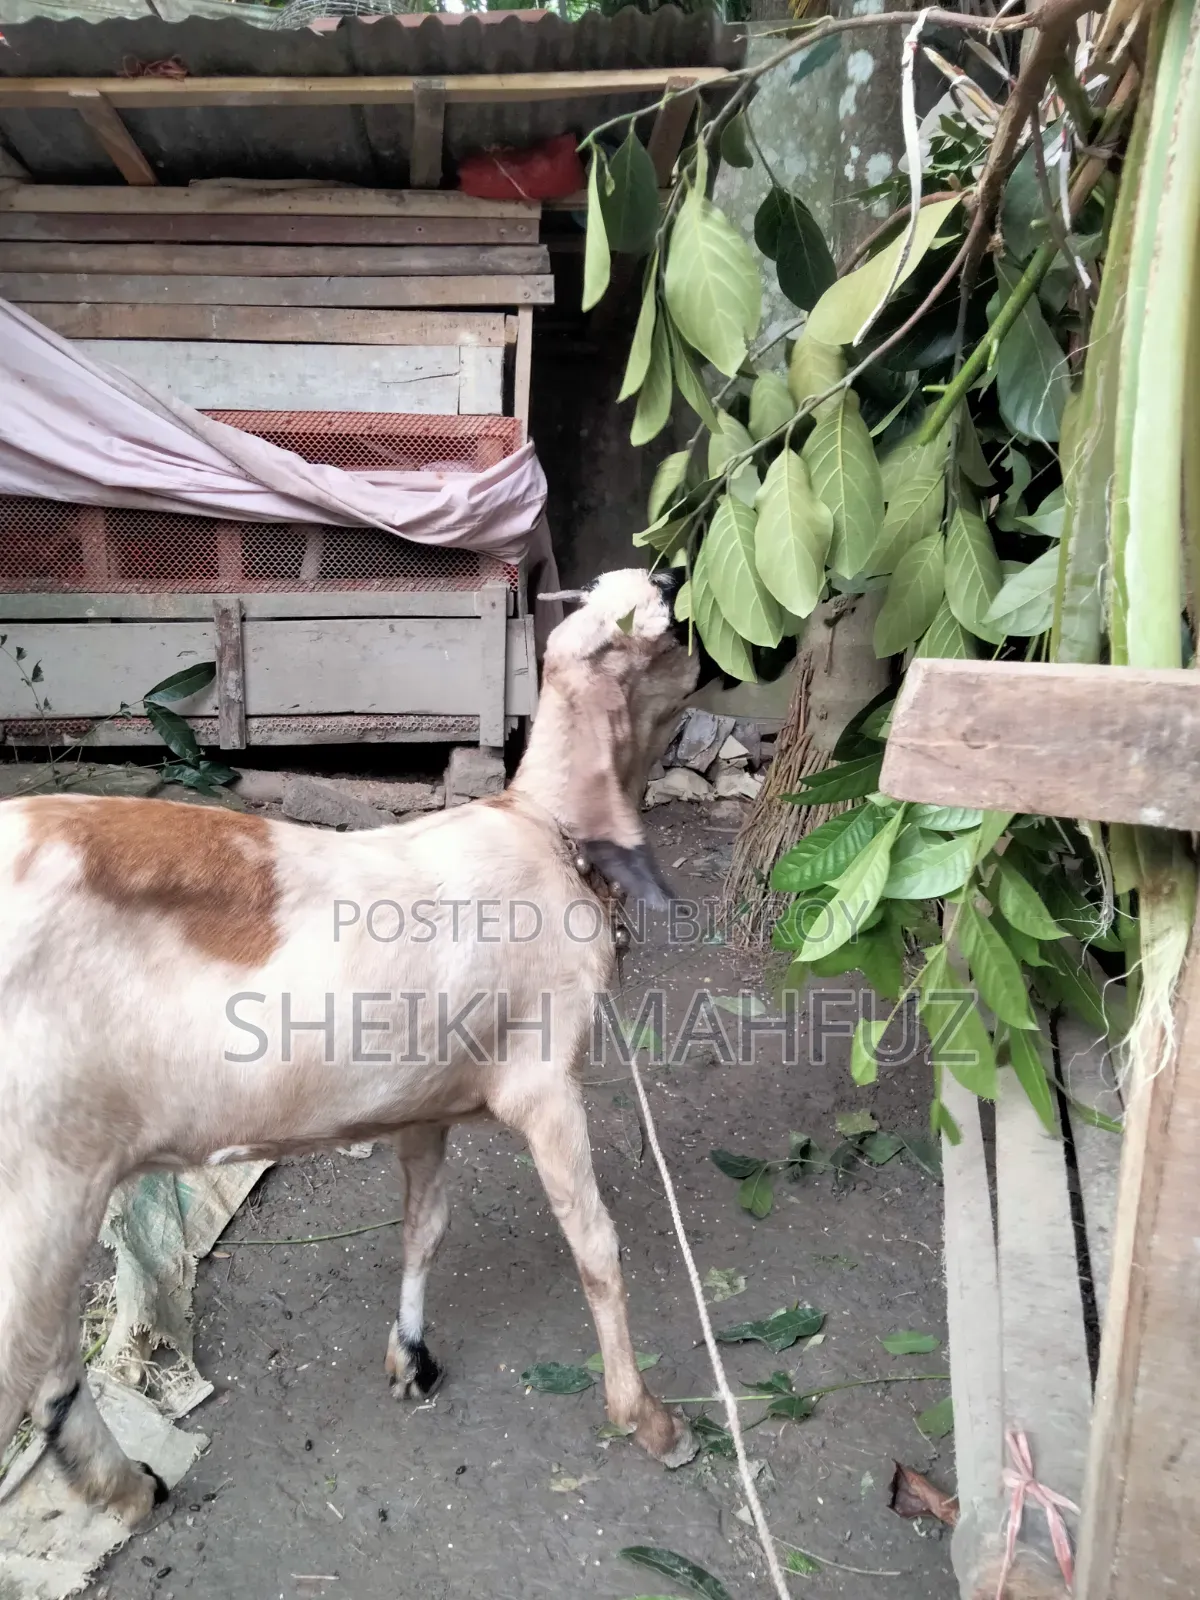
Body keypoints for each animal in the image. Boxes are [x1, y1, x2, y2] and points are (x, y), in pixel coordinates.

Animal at [0, 568, 700, 1524]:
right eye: (647, 630)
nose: (676, 578)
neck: (542, 829)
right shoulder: (544, 1081)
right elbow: (594, 1243)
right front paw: (649, 1420)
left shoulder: (423, 1097)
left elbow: (425, 1225)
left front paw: (411, 1355)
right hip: (38, 1184)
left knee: (52, 1361)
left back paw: (124, 1485)